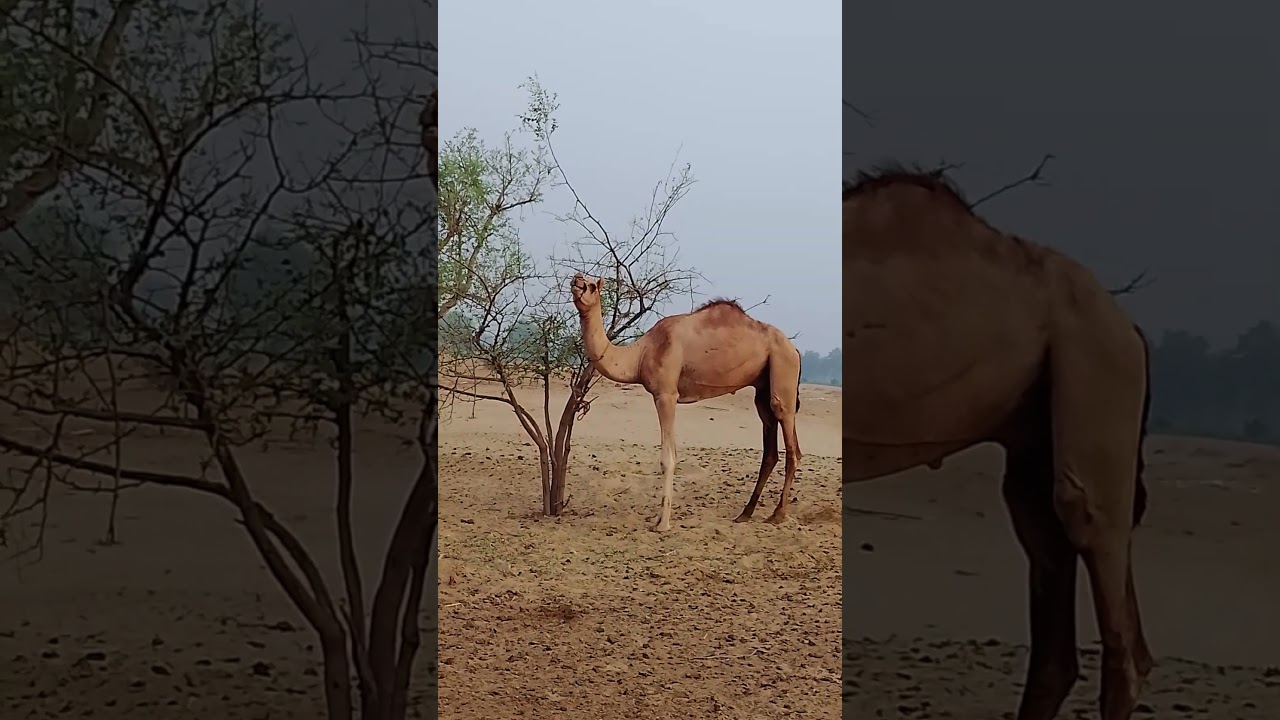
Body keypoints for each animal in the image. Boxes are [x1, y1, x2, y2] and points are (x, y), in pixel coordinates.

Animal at [570, 273, 803, 532]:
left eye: (591, 285)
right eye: (580, 279)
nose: (577, 280)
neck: (640, 354)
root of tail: (795, 349)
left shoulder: (666, 394)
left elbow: (667, 458)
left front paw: (663, 524)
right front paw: (657, 519)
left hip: (783, 369)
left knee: (791, 442)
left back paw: (778, 514)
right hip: (762, 387)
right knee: (769, 446)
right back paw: (745, 513)